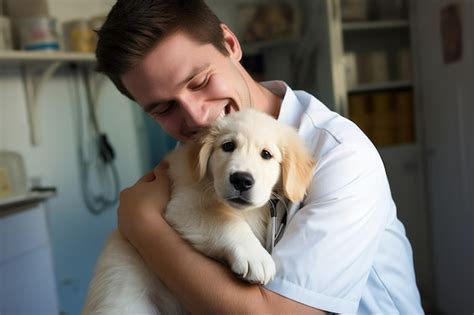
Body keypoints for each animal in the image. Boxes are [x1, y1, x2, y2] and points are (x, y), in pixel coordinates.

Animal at [83, 108, 316, 314]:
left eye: (266, 154)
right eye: (228, 146)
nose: (241, 180)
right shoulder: (184, 205)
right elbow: (227, 222)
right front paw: (255, 256)